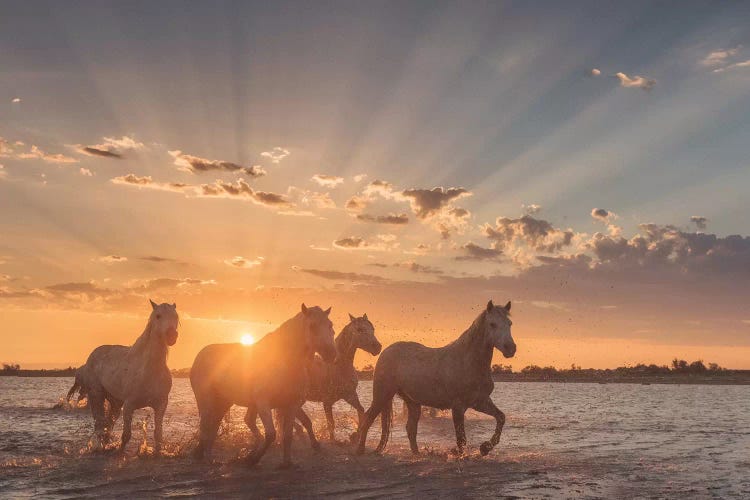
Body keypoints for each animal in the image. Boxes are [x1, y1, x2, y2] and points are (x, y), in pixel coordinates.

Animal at [71, 300, 181, 454]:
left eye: (175, 317)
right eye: (158, 316)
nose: (171, 336)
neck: (150, 369)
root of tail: (92, 355)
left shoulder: (161, 405)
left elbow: (158, 435)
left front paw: (157, 452)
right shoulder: (129, 405)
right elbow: (126, 435)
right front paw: (119, 451)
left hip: (116, 402)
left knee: (108, 423)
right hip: (96, 395)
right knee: (100, 423)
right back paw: (99, 445)